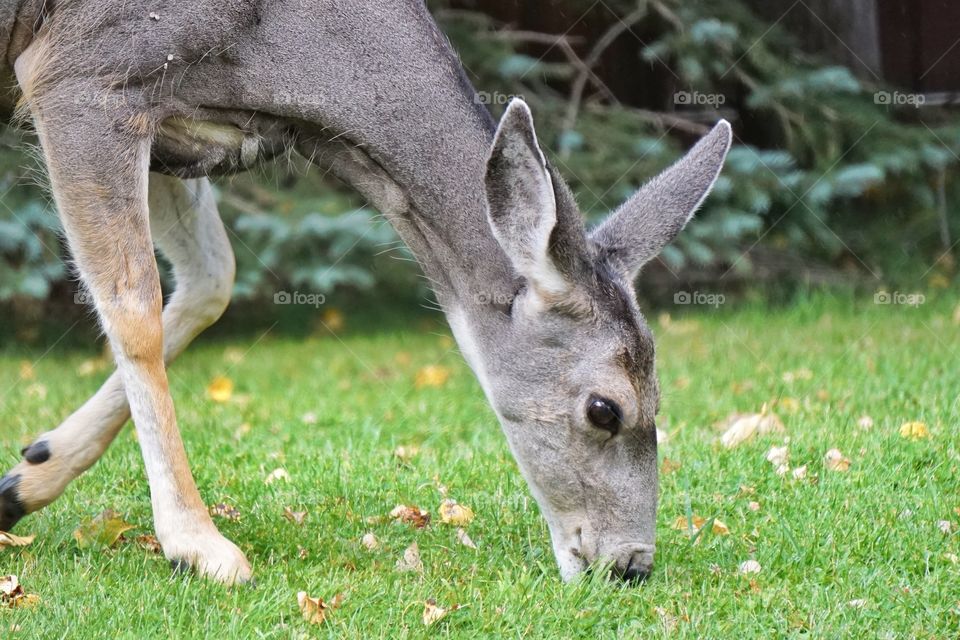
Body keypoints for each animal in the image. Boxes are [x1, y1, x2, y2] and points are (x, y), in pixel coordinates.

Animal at [0, 0, 728, 584]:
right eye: (606, 409)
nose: (630, 565)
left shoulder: (176, 129)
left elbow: (212, 278)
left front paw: (26, 476)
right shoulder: (82, 76)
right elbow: (133, 311)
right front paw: (199, 545)